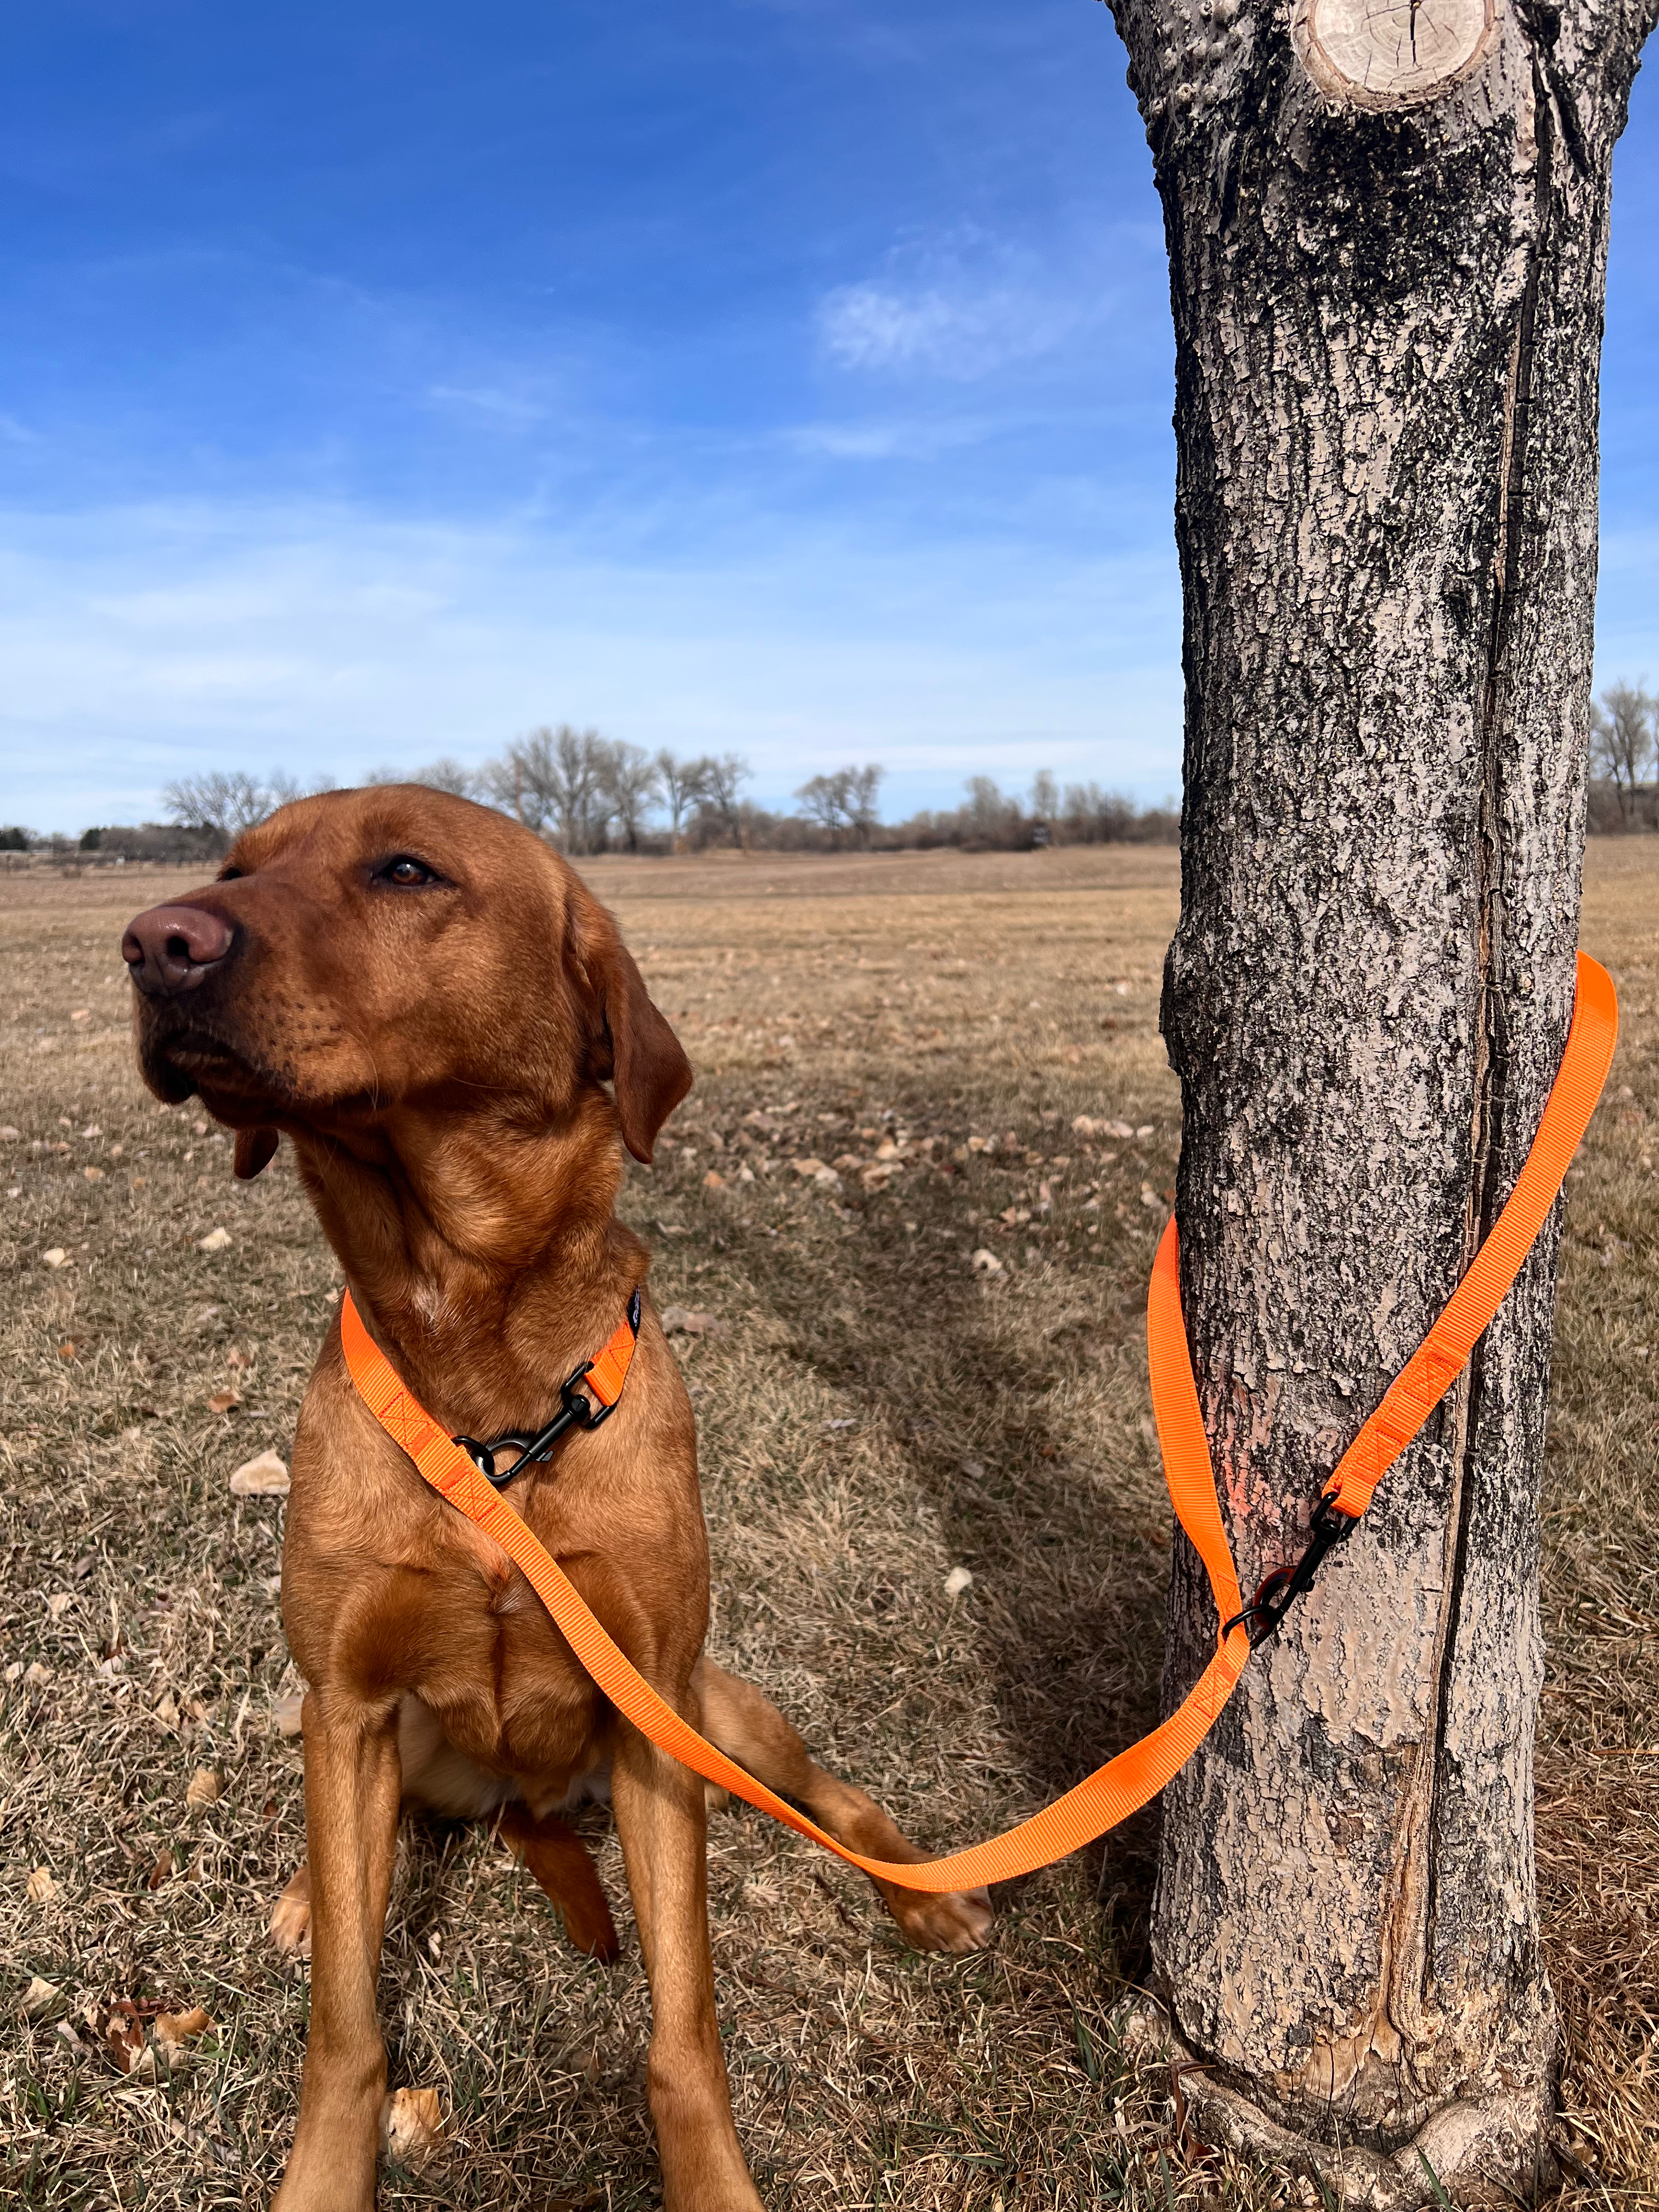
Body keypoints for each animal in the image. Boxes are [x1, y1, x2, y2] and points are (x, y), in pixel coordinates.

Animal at [129, 792, 995, 2212]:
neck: (484, 1389)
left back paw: (924, 1891)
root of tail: (537, 1803)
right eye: (234, 866)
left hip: (715, 1710)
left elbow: (685, 2032)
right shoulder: (348, 1700)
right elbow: (346, 2027)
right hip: (401, 1747)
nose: (155, 942)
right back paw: (315, 1896)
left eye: (406, 869)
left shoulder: (654, 1713)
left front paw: (713, 2181)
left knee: (831, 1792)